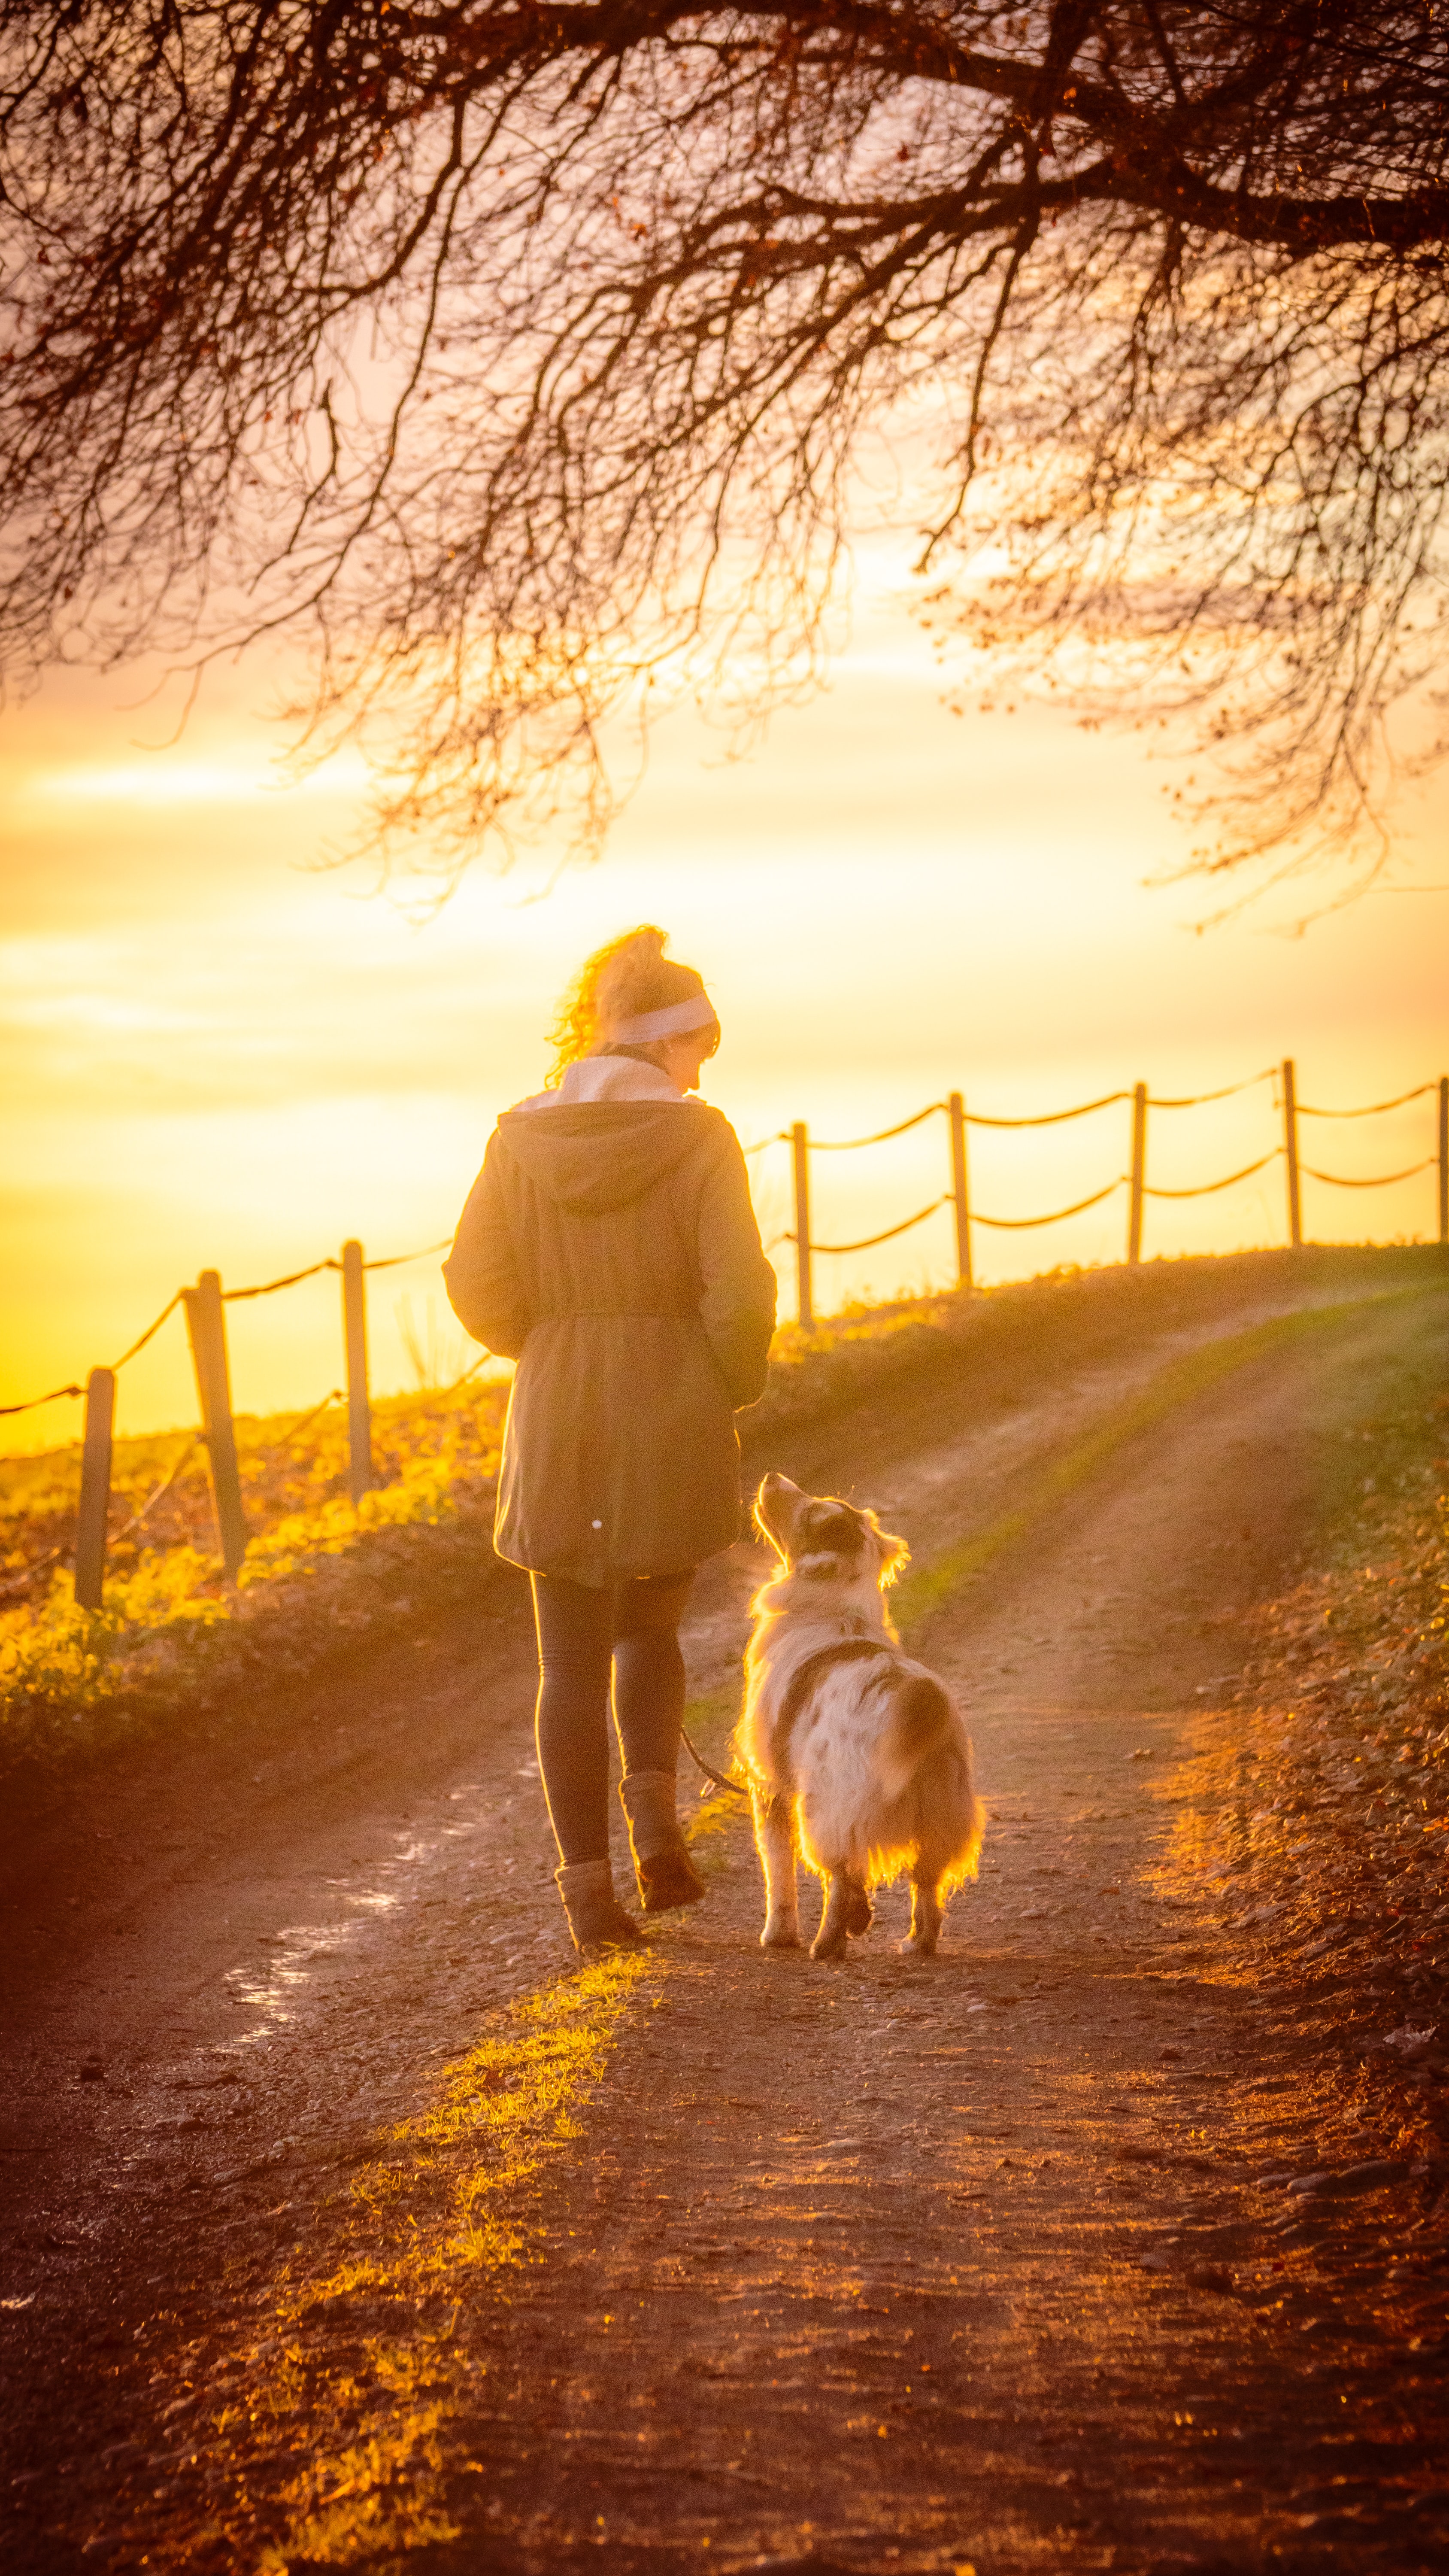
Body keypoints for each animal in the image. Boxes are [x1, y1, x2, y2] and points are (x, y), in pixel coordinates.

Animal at [736, 1473, 988, 1947]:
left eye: (809, 1514)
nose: (771, 1478)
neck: (834, 1609)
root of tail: (917, 1694)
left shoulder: (769, 1786)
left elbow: (778, 1870)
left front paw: (778, 1935)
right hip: (941, 1818)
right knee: (925, 1885)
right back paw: (915, 1944)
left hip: (825, 1811)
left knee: (840, 1877)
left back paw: (829, 1942)